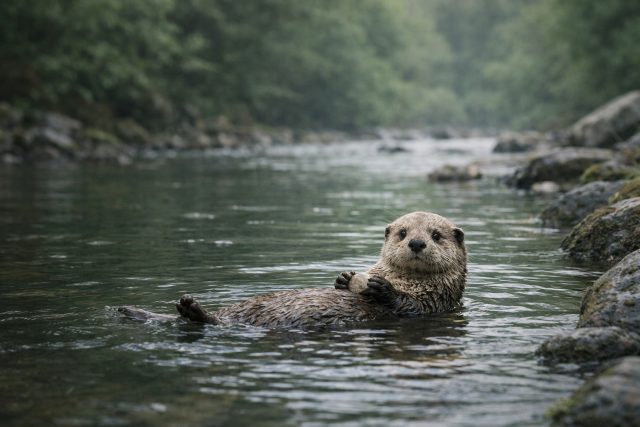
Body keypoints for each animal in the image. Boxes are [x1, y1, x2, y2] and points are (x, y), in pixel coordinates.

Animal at [119, 212, 467, 328]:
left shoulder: (436, 300)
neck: (404, 280)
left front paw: (381, 288)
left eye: (436, 235)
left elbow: (409, 306)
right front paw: (343, 279)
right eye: (403, 233)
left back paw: (191, 309)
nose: (417, 243)